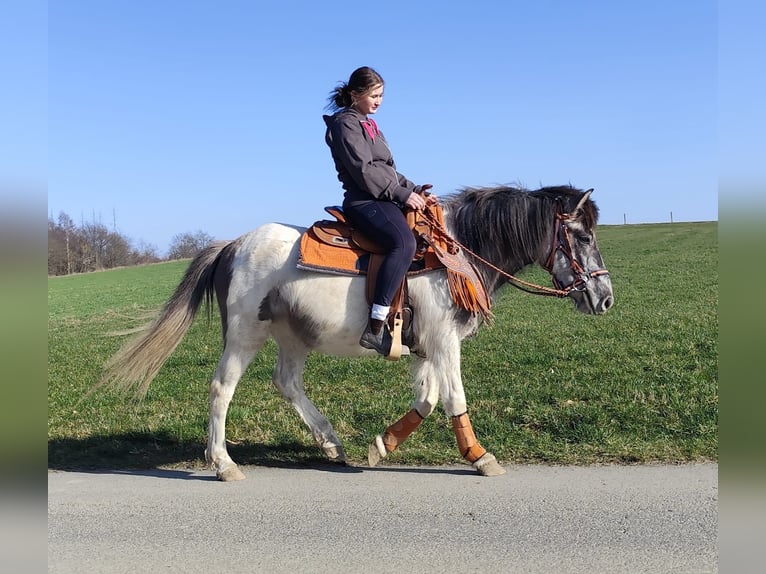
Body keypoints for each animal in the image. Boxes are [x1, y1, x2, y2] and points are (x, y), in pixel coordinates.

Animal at [99, 184, 614, 481]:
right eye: (583, 235)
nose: (605, 298)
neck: (457, 252)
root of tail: (232, 244)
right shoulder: (445, 342)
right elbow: (454, 399)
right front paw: (479, 456)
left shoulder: (428, 347)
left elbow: (427, 400)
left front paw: (380, 447)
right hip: (246, 335)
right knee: (221, 387)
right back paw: (223, 463)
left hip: (293, 336)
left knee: (287, 383)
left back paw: (331, 443)